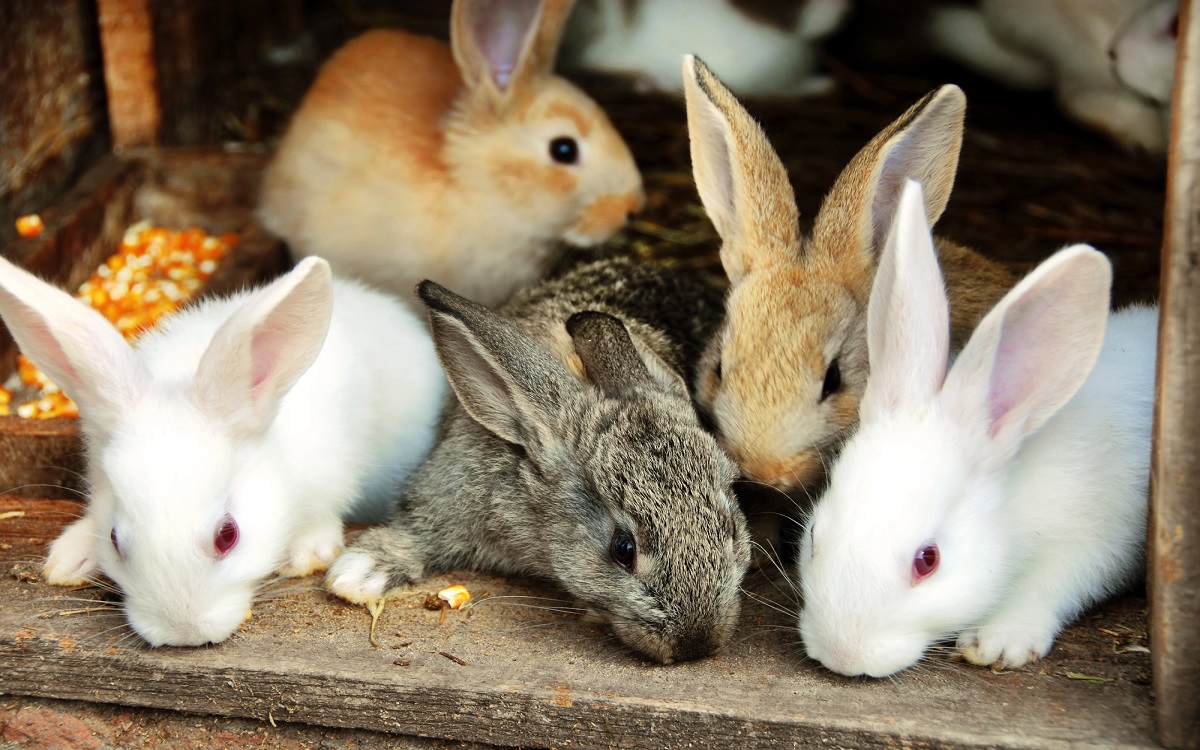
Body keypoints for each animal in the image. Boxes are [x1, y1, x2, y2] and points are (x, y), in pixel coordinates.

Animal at [797, 179, 1157, 677]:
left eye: (928, 561)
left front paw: (997, 643)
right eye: (815, 534)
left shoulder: (1097, 541)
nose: (843, 657)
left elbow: (1051, 584)